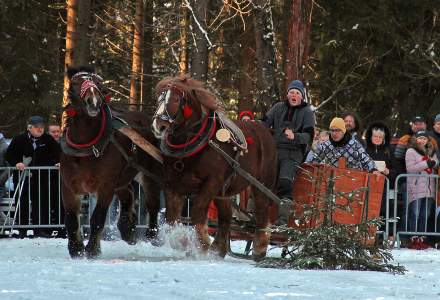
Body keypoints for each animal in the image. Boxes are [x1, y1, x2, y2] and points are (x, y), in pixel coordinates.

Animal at [59, 67, 161, 258]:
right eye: (75, 83)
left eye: (98, 83)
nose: (93, 101)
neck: (87, 146)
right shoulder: (69, 186)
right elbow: (70, 218)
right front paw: (76, 249)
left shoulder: (105, 186)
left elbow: (98, 218)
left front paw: (92, 249)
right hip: (123, 177)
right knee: (128, 195)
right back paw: (128, 230)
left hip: (147, 174)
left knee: (152, 204)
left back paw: (152, 235)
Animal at [150, 75, 276, 260]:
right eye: (159, 98)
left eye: (176, 99)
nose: (159, 125)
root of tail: (265, 131)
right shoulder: (172, 184)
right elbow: (172, 218)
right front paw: (182, 242)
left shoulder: (212, 182)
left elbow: (197, 212)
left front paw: (202, 245)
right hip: (224, 192)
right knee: (226, 217)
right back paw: (218, 249)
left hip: (261, 184)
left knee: (261, 212)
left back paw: (259, 249)